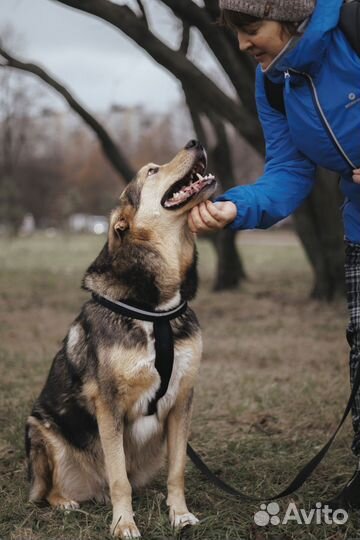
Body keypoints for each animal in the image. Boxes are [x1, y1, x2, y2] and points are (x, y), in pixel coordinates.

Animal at [26, 141, 217, 536]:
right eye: (152, 171)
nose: (195, 142)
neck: (156, 308)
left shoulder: (183, 400)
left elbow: (177, 470)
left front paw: (179, 514)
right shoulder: (109, 404)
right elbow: (119, 479)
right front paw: (124, 524)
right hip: (40, 430)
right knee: (52, 489)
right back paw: (66, 502)